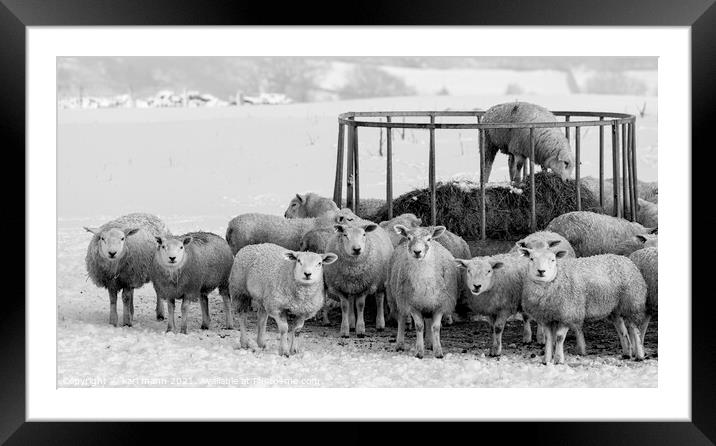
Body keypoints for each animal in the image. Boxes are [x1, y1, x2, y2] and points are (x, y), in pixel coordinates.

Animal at [386, 225, 458, 358]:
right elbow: (419, 326)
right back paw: (400, 344)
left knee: (428, 322)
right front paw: (419, 351)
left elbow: (435, 327)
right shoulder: (412, 304)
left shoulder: (440, 303)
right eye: (409, 238)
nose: (417, 252)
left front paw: (438, 351)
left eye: (429, 239)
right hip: (396, 297)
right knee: (401, 319)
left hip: (428, 303)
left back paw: (430, 343)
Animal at [516, 246, 648, 364]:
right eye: (531, 258)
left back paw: (639, 355)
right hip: (615, 309)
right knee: (623, 331)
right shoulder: (547, 317)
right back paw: (626, 353)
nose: (541, 271)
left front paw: (558, 360)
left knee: (635, 329)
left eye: (553, 260)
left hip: (632, 303)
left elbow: (559, 337)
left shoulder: (568, 313)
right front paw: (546, 360)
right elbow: (549, 338)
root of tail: (626, 259)